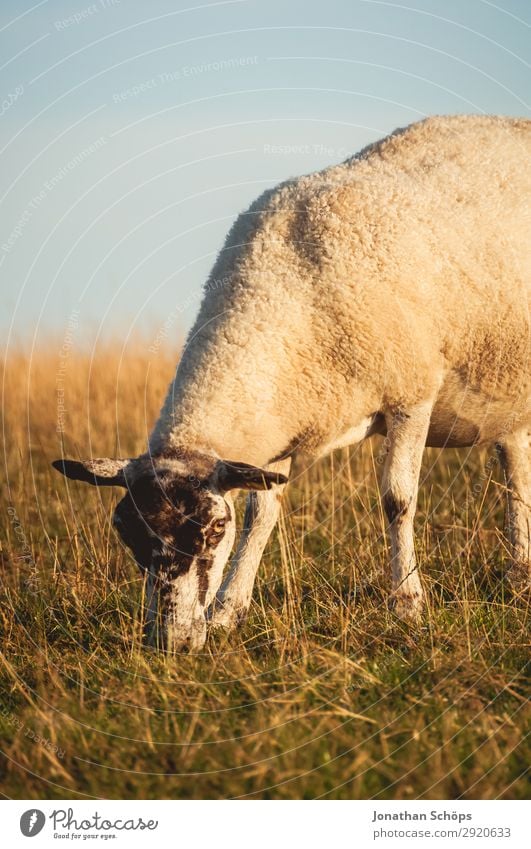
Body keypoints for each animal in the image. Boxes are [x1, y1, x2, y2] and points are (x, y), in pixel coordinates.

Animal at [54, 114, 531, 648]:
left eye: (213, 529)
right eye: (127, 534)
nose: (171, 642)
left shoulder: (412, 393)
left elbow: (398, 501)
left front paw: (408, 604)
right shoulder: (276, 426)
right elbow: (261, 515)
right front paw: (228, 611)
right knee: (516, 465)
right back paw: (520, 573)